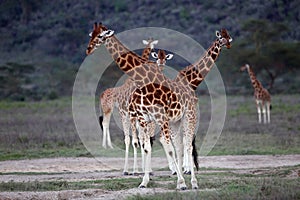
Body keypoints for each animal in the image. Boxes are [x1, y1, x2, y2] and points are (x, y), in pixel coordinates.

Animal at [85, 22, 232, 189]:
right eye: (92, 35)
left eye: (101, 35)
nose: (88, 49)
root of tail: (190, 92)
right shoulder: (145, 118)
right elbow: (148, 147)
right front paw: (144, 181)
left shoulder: (161, 117)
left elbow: (168, 148)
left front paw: (181, 182)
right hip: (171, 120)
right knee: (175, 145)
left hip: (188, 116)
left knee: (187, 145)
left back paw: (193, 182)